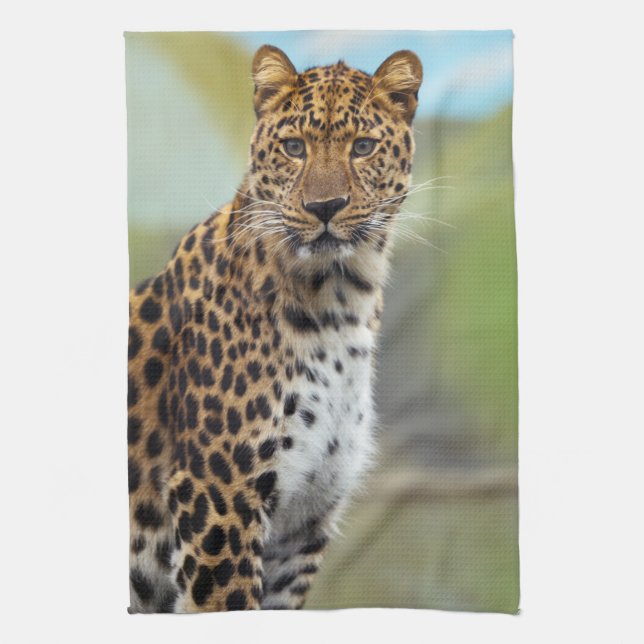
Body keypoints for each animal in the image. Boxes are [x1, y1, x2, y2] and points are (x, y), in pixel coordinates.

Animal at [127, 44, 423, 612]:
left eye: (363, 147)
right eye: (293, 147)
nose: (324, 207)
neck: (339, 304)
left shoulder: (302, 525)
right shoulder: (219, 499)